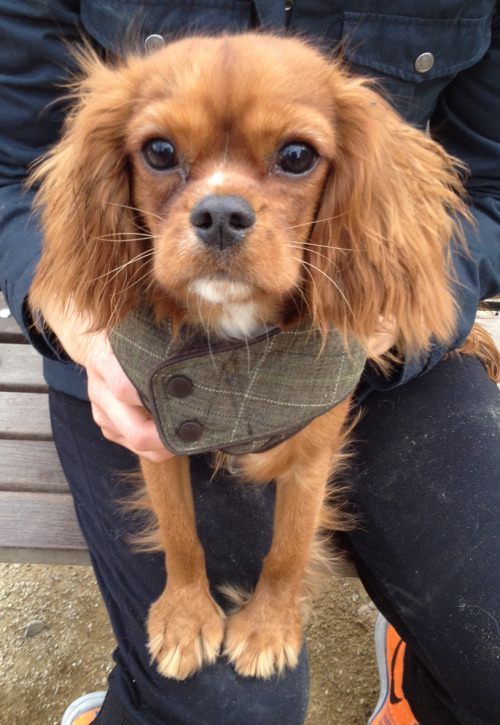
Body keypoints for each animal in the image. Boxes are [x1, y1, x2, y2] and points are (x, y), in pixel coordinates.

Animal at [28, 32, 500, 680]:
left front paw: (269, 624)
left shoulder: (314, 452)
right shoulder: (153, 431)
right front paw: (185, 614)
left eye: (297, 156)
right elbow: (179, 532)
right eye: (159, 152)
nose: (221, 214)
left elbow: (289, 547)